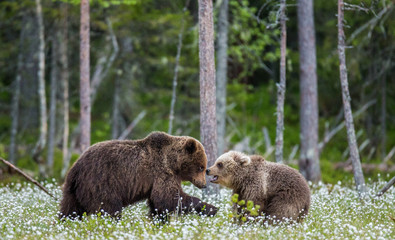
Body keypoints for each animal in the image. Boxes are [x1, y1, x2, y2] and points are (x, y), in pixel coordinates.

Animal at [60, 132, 218, 220]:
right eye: (201, 167)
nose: (203, 184)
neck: (174, 163)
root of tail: (76, 167)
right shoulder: (162, 172)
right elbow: (169, 198)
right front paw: (211, 208)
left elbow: (159, 205)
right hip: (101, 182)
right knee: (109, 208)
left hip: (74, 191)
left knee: (69, 210)